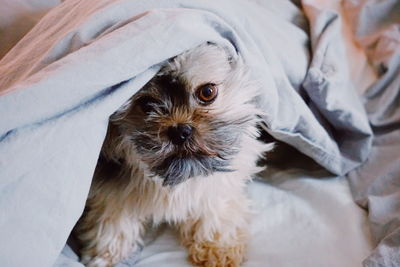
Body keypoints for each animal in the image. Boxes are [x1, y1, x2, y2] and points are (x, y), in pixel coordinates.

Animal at [76, 43, 274, 266]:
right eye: (146, 105)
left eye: (207, 92)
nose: (180, 131)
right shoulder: (112, 192)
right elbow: (113, 220)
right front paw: (106, 254)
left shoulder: (219, 186)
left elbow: (215, 208)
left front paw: (218, 247)